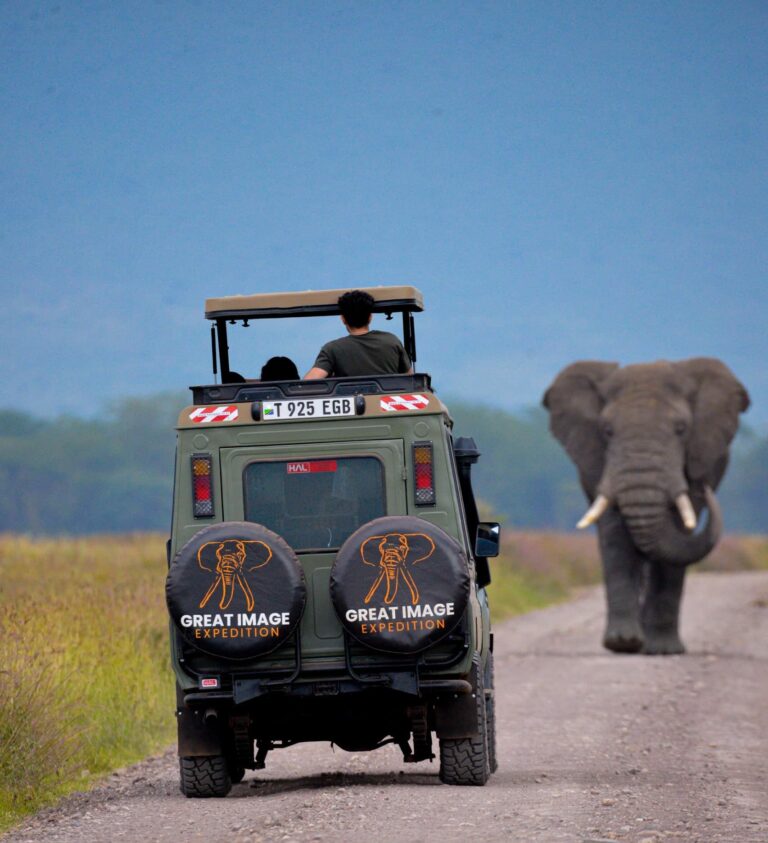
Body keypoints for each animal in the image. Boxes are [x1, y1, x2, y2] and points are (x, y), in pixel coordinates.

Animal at [543, 358, 749, 655]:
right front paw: (622, 643)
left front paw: (663, 649)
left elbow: (677, 534)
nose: (705, 488)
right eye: (607, 431)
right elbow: (615, 533)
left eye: (681, 429)